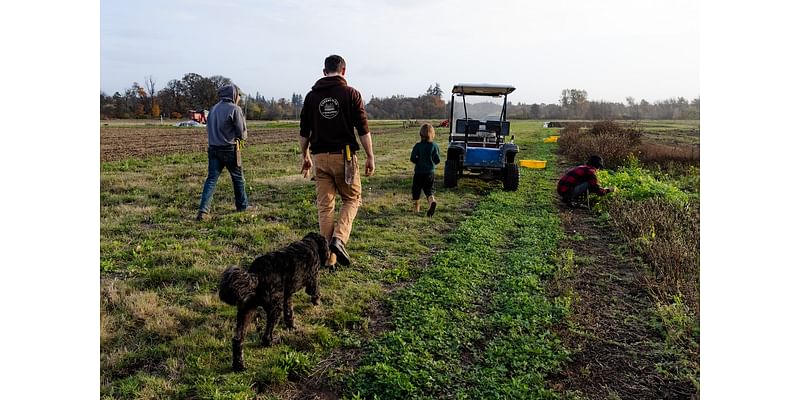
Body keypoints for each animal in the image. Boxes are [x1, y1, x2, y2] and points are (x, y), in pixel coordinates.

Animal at [217, 233, 330, 370]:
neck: (310, 243)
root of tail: (255, 275)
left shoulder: (287, 296)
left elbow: (289, 312)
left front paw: (291, 326)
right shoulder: (313, 279)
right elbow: (316, 292)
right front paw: (317, 303)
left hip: (246, 310)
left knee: (237, 339)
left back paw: (239, 365)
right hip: (274, 307)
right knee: (266, 335)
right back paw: (272, 341)